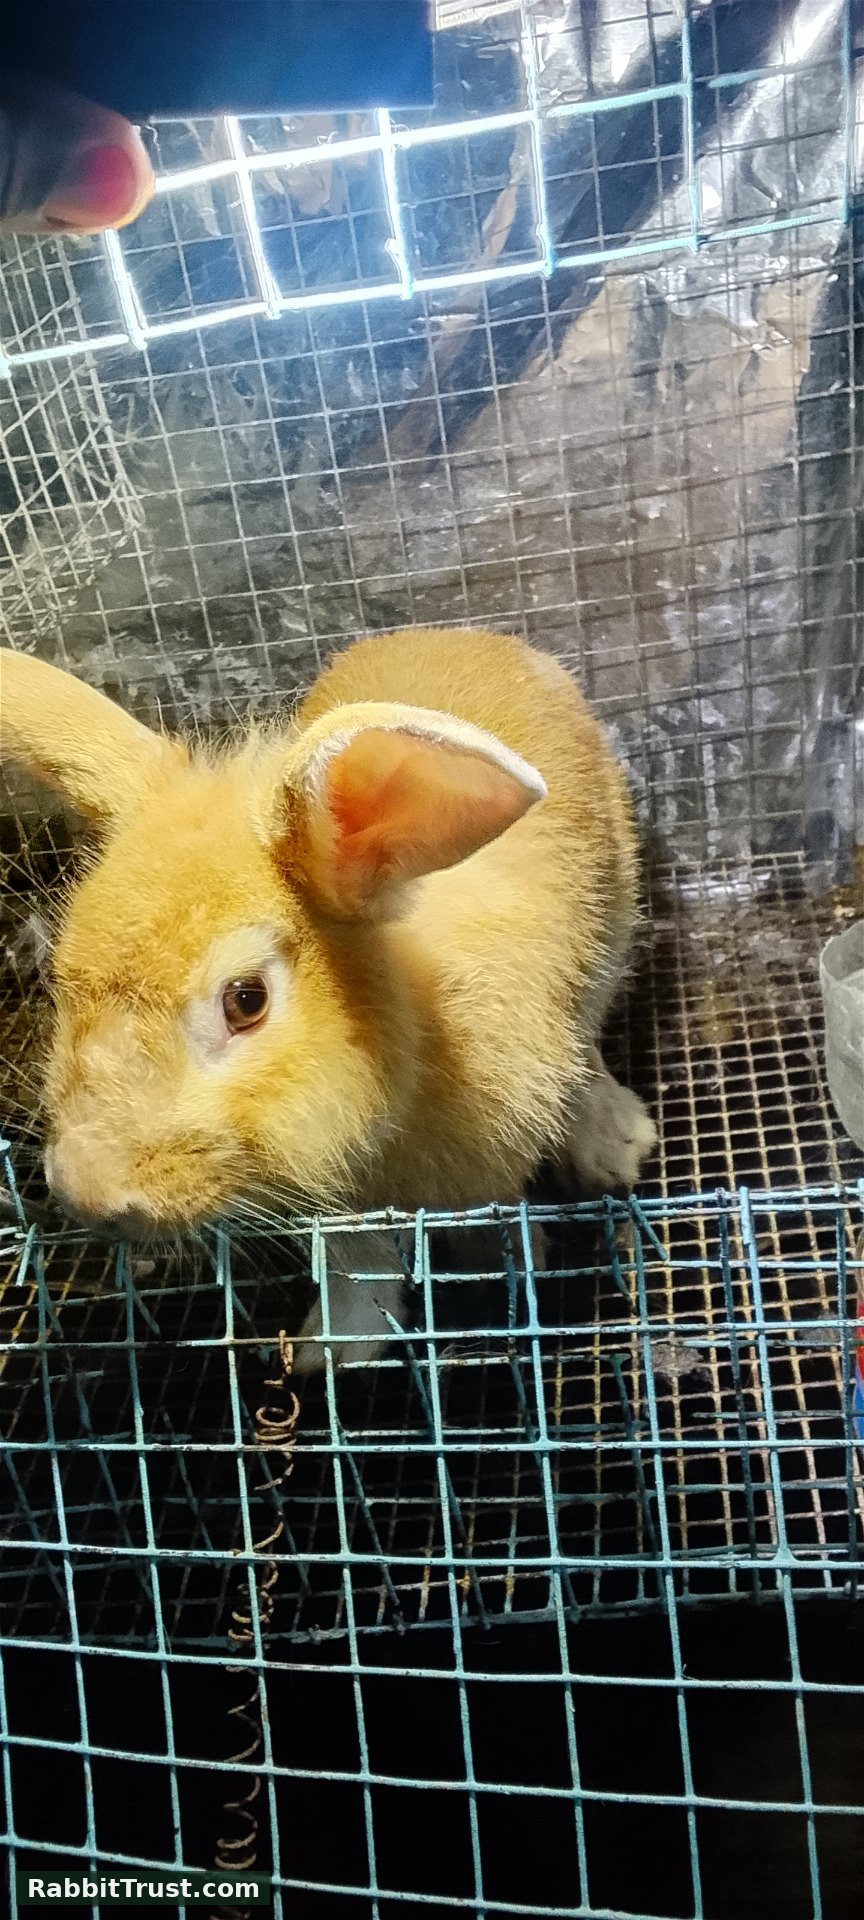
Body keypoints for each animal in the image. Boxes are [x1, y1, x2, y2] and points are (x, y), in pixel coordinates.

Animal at [0, 626, 656, 1368]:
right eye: (59, 979)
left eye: (246, 1000)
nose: (88, 1191)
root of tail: (459, 633)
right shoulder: (335, 1209)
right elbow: (357, 1266)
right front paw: (333, 1350)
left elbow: (492, 1226)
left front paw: (510, 1273)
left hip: (612, 924)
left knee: (589, 1042)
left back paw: (613, 1142)